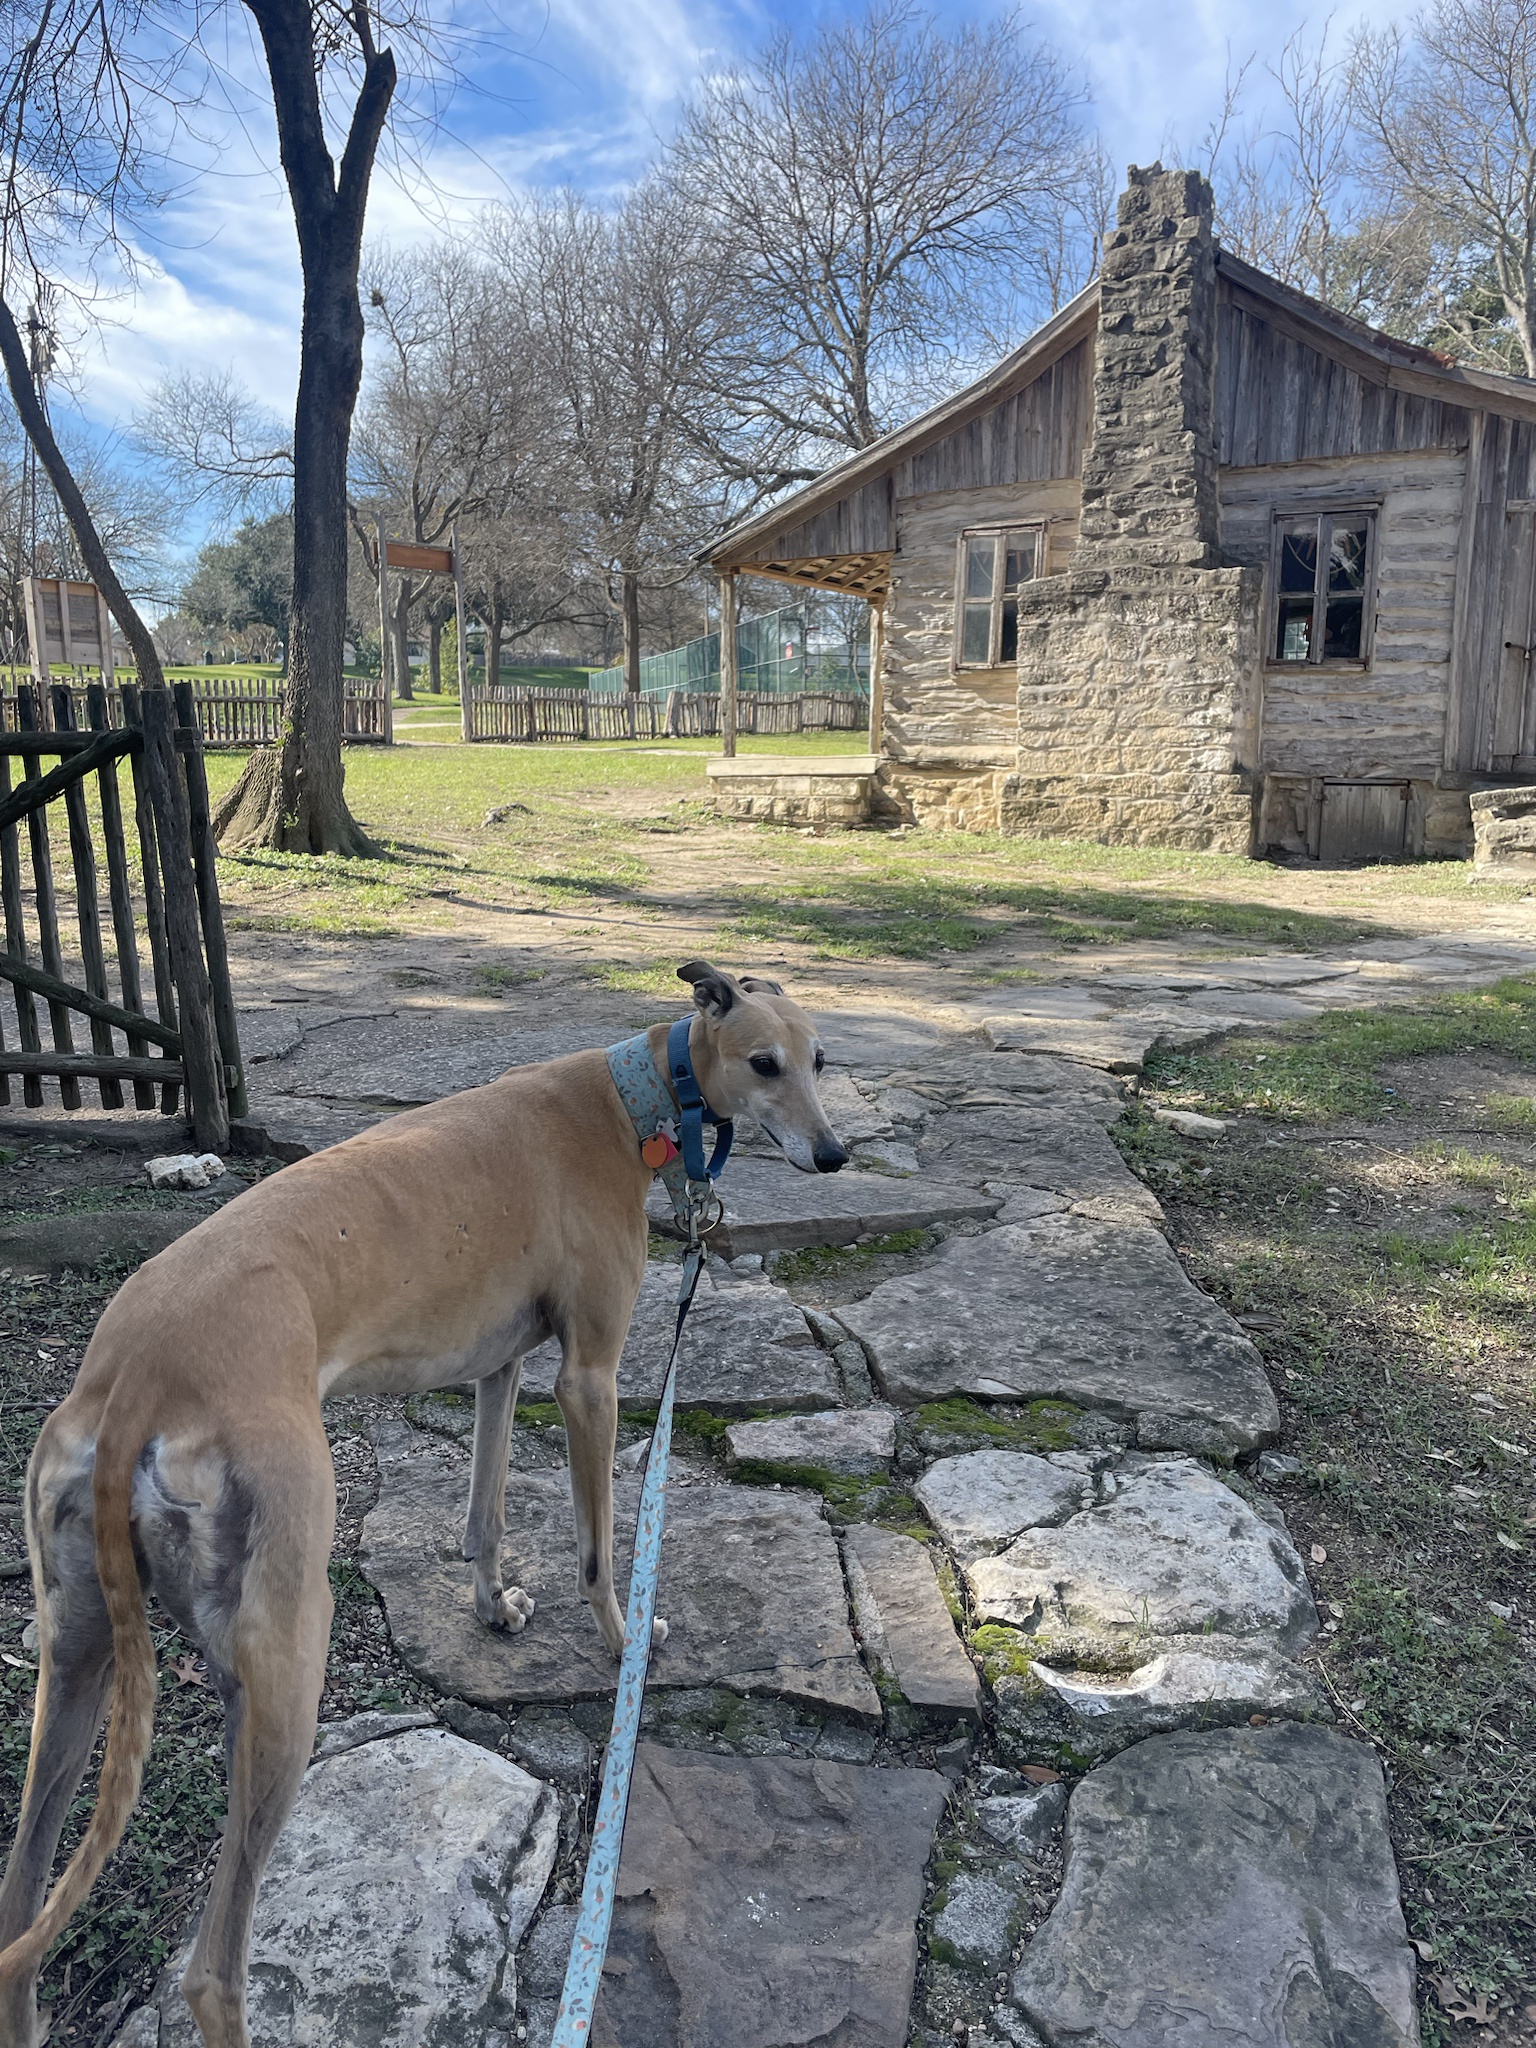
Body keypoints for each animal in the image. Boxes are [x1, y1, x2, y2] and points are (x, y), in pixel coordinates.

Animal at [0, 958, 856, 2048]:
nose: (834, 1154)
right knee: (211, 1972)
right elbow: (596, 1548)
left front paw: (495, 1607)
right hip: (287, 1660)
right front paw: (627, 1642)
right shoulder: (590, 1378)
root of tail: (132, 1385)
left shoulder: (501, 1366)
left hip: (76, 1654)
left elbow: (483, 1514)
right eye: (763, 1062)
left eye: (822, 1058)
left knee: (19, 1908)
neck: (624, 1099)